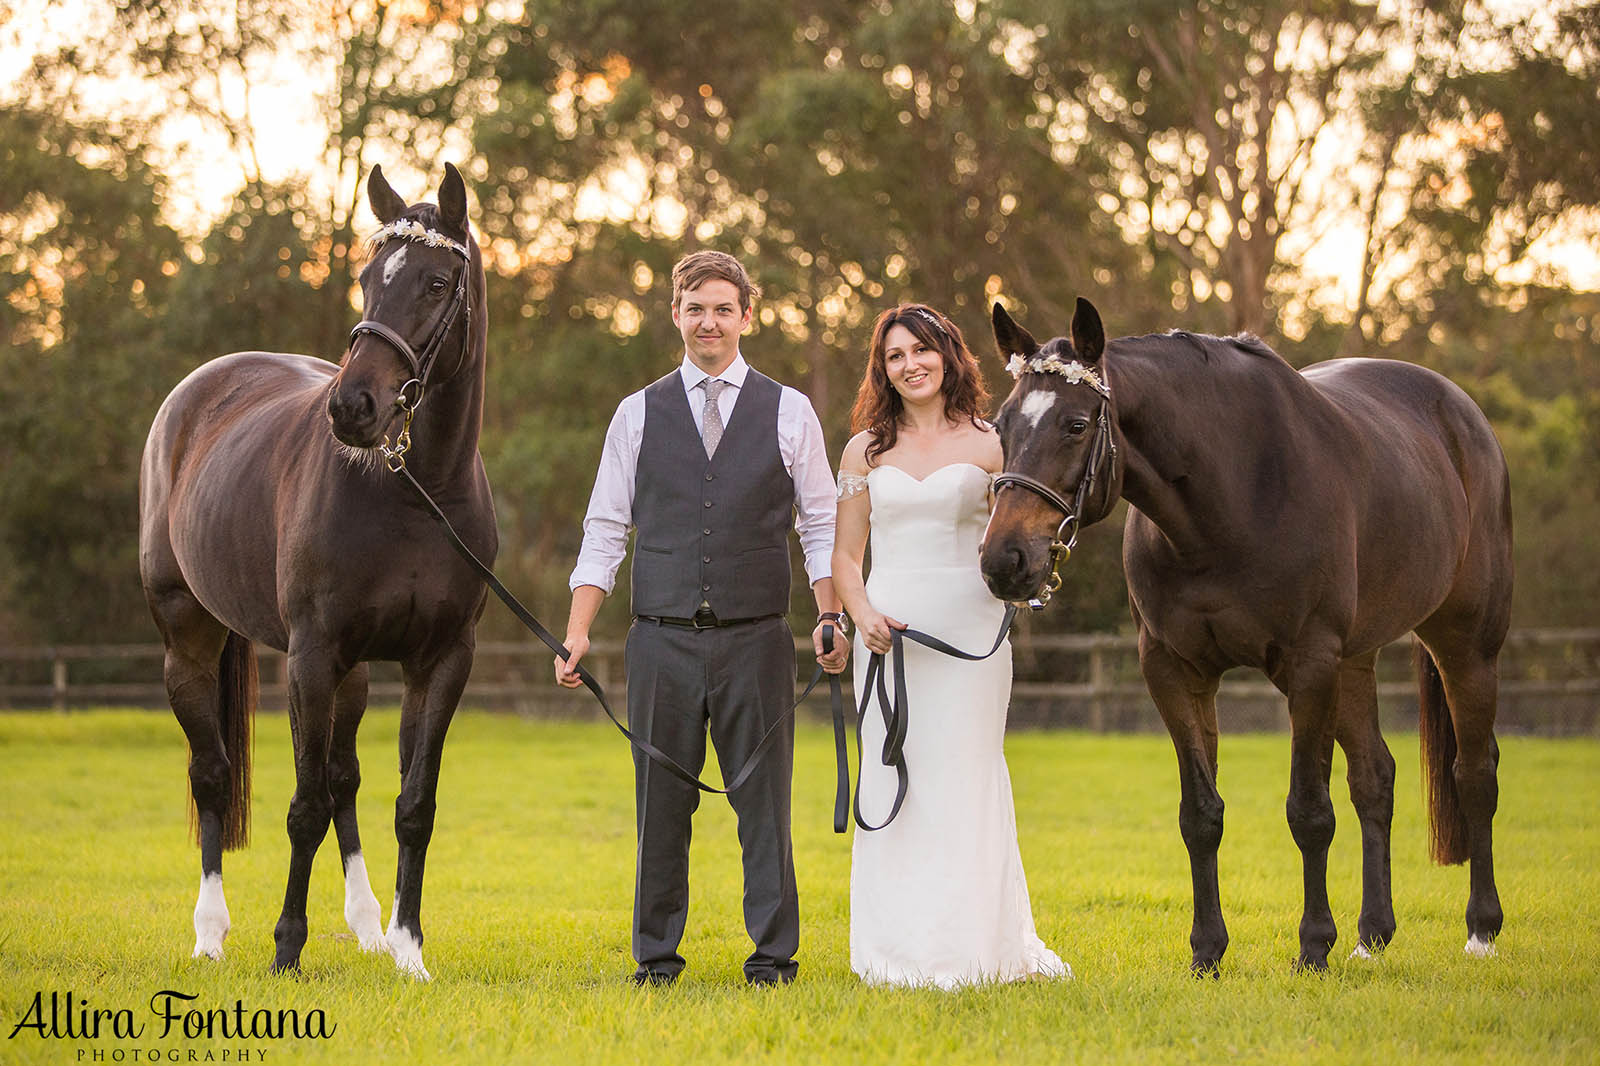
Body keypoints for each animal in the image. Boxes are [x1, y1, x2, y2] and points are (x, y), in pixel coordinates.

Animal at [138, 164, 492, 973]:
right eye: (366, 278)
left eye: (435, 283)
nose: (353, 407)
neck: (414, 489)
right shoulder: (310, 654)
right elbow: (301, 810)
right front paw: (286, 950)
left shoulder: (439, 661)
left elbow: (411, 806)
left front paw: (409, 950)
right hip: (191, 644)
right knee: (214, 777)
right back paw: (210, 934)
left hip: (349, 675)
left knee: (343, 779)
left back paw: (366, 926)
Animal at [972, 296, 1510, 973]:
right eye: (1001, 426)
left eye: (1074, 424)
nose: (1004, 560)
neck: (1228, 499)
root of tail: (1462, 413)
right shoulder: (1174, 670)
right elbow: (1201, 814)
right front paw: (1207, 950)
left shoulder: (1309, 666)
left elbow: (1309, 812)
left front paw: (1313, 945)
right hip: (1356, 662)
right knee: (1375, 779)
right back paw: (1372, 935)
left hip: (1465, 645)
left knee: (1475, 775)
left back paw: (1481, 930)